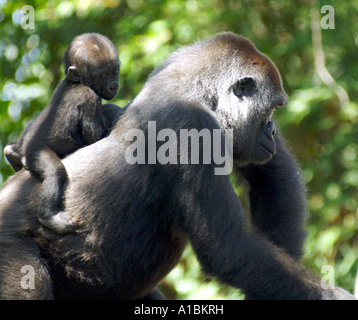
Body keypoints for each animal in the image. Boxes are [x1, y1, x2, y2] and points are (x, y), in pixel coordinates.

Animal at [3, 33, 121, 235]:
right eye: (102, 76)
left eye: (115, 71)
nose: (113, 86)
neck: (75, 81)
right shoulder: (88, 96)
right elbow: (95, 137)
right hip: (35, 153)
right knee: (55, 173)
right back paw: (50, 218)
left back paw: (11, 153)